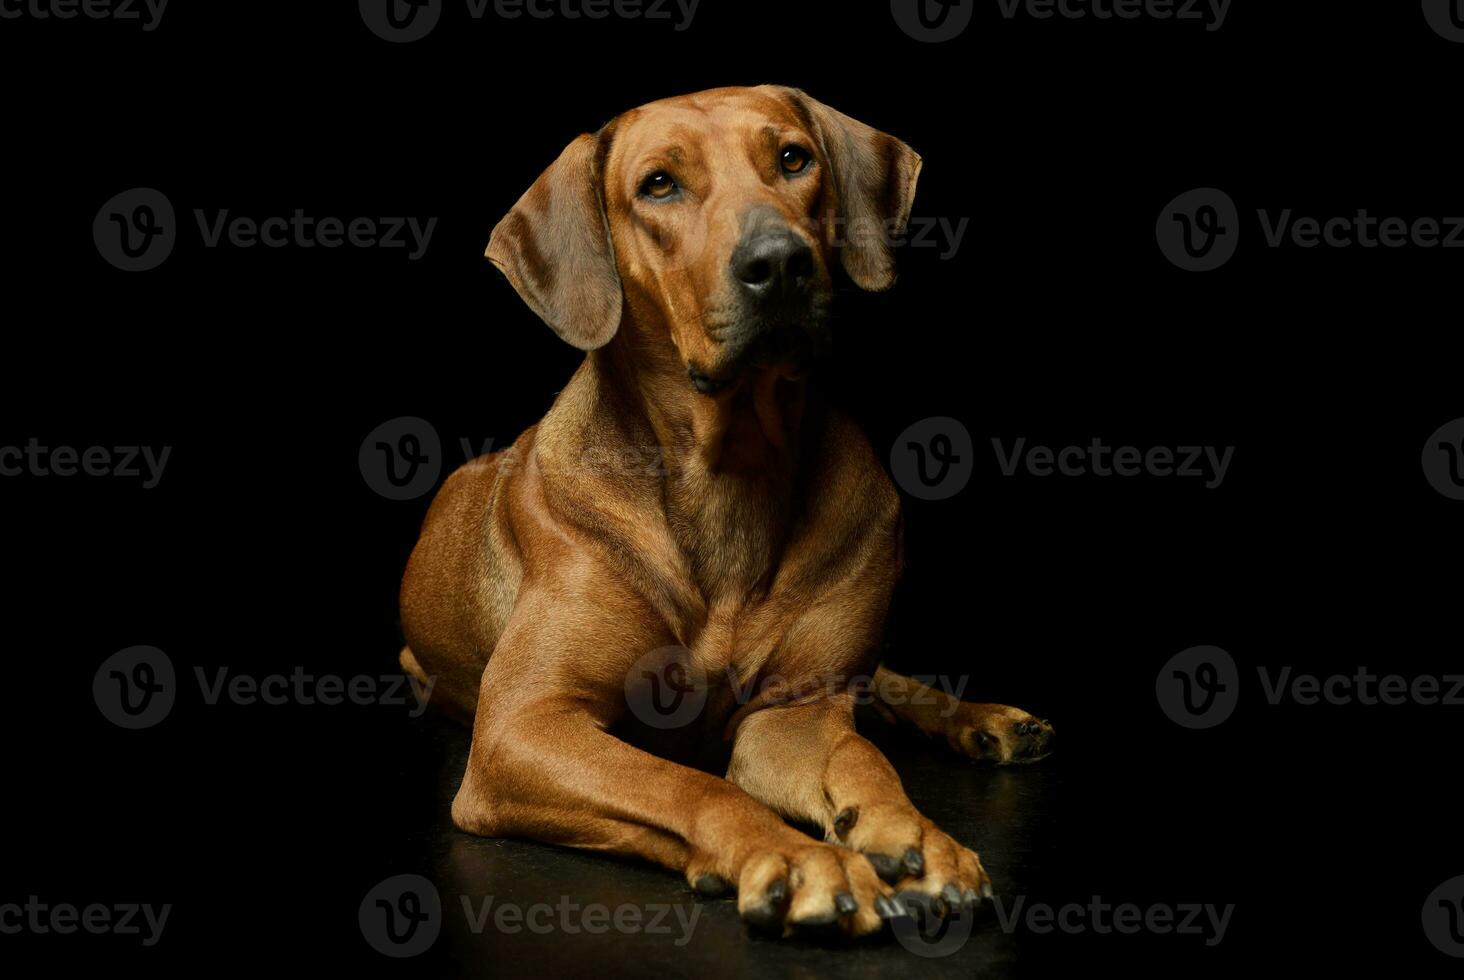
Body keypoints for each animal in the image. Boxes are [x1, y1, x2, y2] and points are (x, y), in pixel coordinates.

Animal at [401, 86, 1054, 937]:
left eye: (793, 159)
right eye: (659, 185)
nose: (777, 262)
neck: (729, 467)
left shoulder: (795, 712)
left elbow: (860, 759)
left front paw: (914, 837)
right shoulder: (524, 725)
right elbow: (687, 782)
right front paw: (796, 855)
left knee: (881, 684)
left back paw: (983, 720)